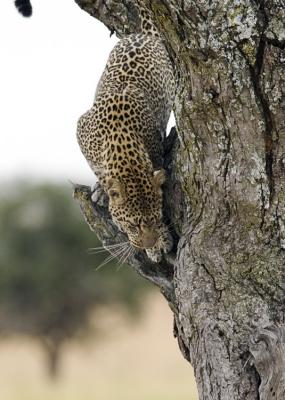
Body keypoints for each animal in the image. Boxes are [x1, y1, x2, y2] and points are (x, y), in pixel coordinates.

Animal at [76, 4, 176, 262]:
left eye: (157, 218)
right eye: (132, 225)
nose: (147, 242)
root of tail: (145, 35)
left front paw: (159, 241)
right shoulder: (80, 129)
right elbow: (99, 171)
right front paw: (104, 188)